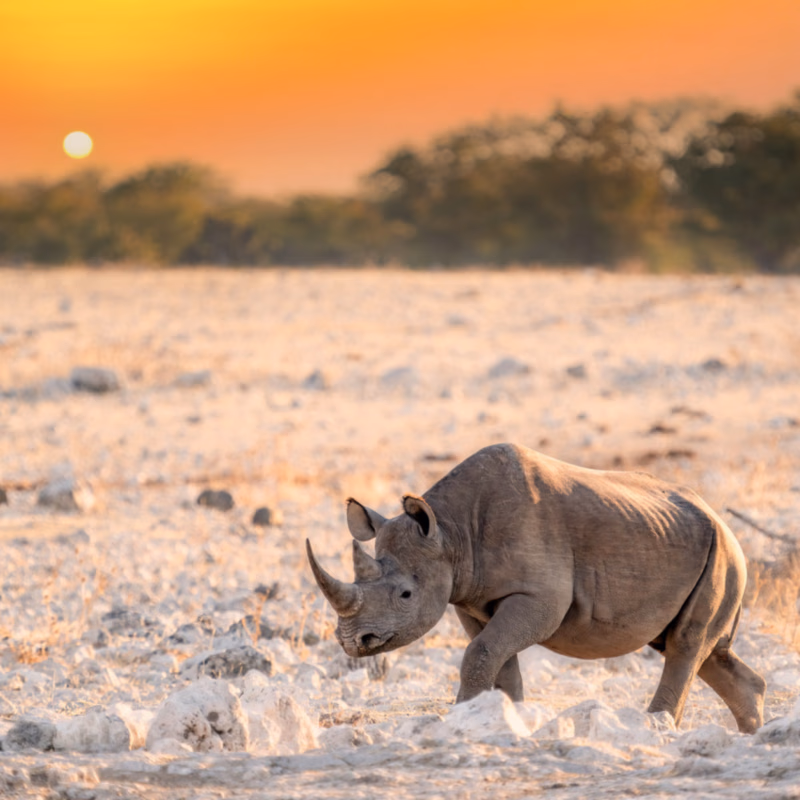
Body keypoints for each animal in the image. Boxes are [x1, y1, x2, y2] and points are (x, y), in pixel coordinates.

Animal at [306, 444, 766, 733]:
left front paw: (461, 718)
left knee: (686, 645)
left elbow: (481, 653)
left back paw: (655, 729)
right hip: (694, 548)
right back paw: (751, 735)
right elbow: (496, 659)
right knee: (697, 649)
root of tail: (722, 521)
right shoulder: (470, 601)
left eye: (405, 595)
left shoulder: (541, 598)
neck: (451, 533)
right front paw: (507, 718)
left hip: (723, 556)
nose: (352, 642)